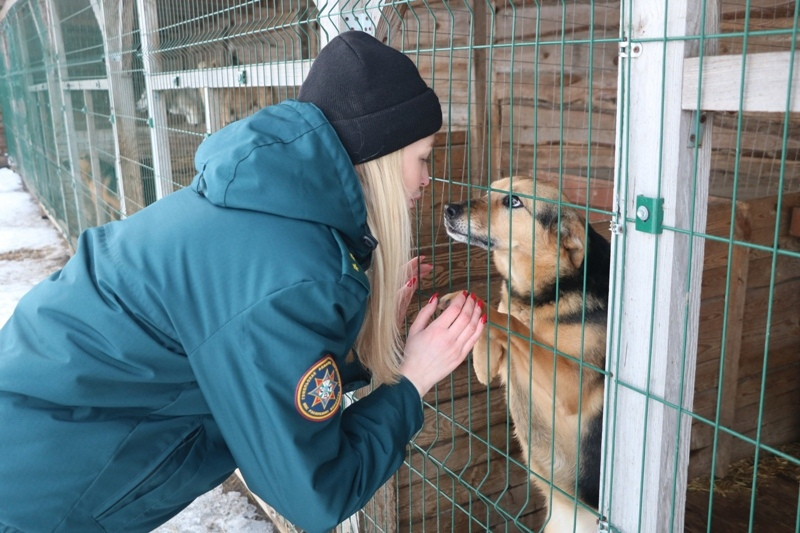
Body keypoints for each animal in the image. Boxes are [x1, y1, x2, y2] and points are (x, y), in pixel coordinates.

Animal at [440, 177, 608, 528]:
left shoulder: (570, 387)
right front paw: (468, 303)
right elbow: (494, 336)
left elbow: (515, 325)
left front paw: (484, 308)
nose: (448, 209)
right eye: (490, 190)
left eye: (514, 202)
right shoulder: (494, 366)